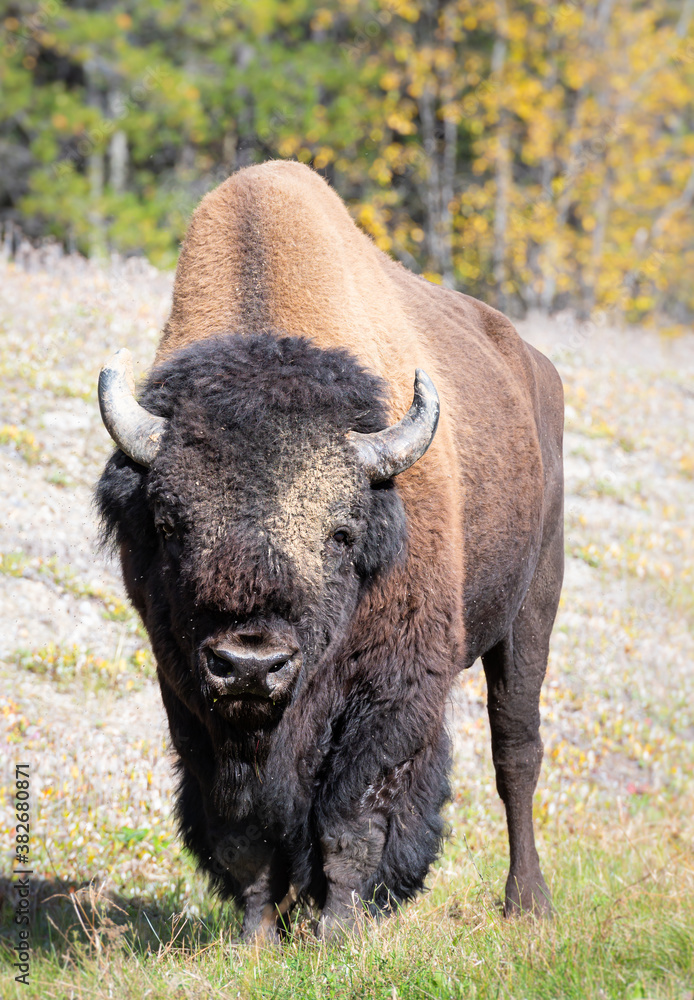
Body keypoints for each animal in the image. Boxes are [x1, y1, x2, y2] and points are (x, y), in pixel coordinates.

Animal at [96, 160, 564, 940]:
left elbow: (354, 818)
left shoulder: (391, 687)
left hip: (532, 610)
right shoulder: (191, 695)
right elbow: (243, 832)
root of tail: (533, 368)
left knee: (516, 752)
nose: (250, 664)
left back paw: (527, 905)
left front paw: (338, 935)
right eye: (168, 523)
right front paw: (256, 939)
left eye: (342, 532)